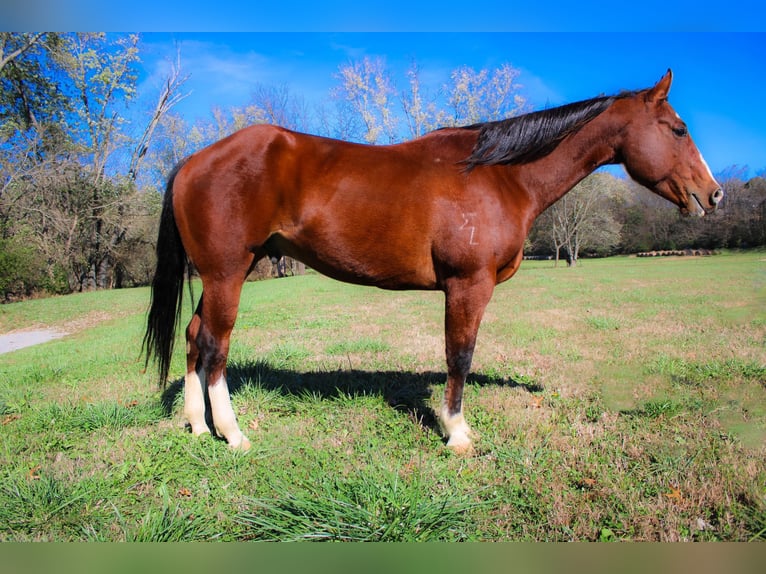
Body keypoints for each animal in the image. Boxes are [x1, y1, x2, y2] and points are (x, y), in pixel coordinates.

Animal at [144, 71, 728, 454]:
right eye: (678, 129)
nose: (714, 194)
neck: (500, 175)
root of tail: (193, 160)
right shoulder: (469, 285)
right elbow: (460, 356)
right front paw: (457, 432)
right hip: (227, 274)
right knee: (215, 346)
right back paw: (233, 434)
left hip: (225, 274)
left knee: (194, 337)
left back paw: (198, 426)